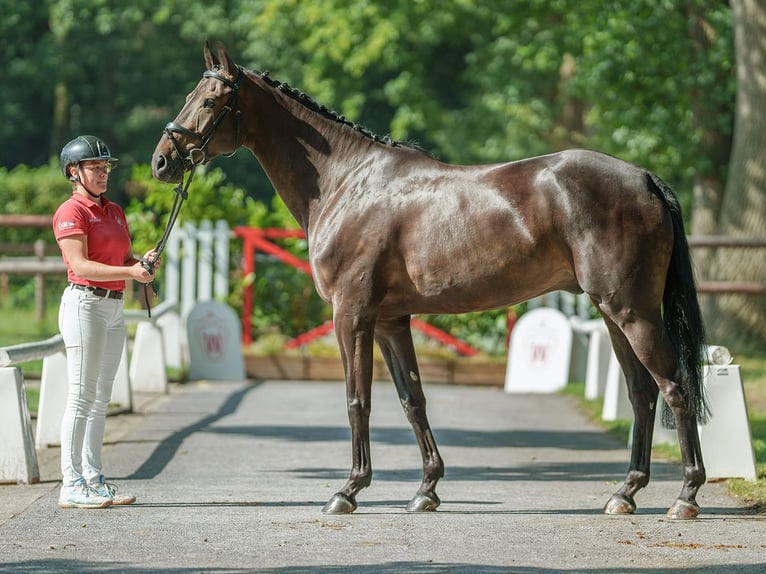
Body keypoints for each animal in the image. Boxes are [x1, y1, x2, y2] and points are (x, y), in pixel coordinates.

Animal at [153, 41, 712, 520]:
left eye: (209, 100)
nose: (162, 162)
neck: (347, 182)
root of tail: (644, 178)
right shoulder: (390, 321)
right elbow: (412, 400)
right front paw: (426, 490)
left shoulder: (351, 316)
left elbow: (358, 400)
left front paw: (348, 490)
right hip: (614, 314)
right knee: (642, 393)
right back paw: (625, 493)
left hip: (632, 312)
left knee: (674, 386)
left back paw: (685, 496)